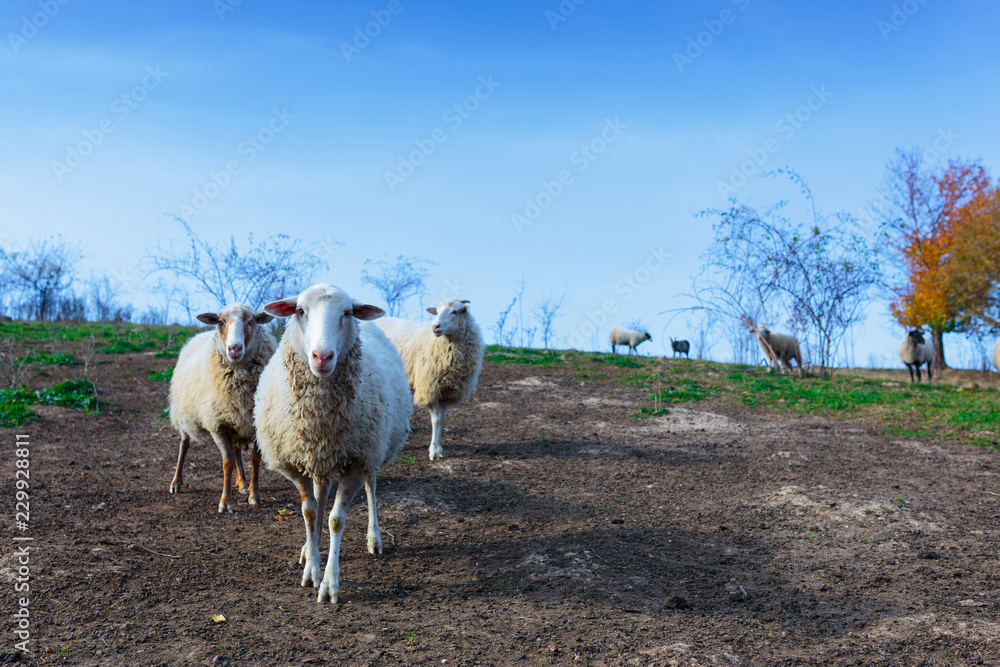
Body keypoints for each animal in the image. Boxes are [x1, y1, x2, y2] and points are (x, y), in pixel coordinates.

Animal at [168, 304, 276, 512]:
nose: (234, 348)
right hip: (182, 416)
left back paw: (242, 483)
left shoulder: (255, 423)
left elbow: (254, 459)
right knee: (184, 445)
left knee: (236, 450)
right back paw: (176, 482)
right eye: (220, 321)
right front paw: (225, 502)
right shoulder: (217, 424)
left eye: (252, 321)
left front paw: (254, 495)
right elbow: (227, 462)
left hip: (236, 420)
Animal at [253, 284, 411, 604]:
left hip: (373, 451)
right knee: (321, 495)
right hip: (319, 461)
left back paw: (374, 538)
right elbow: (310, 511)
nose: (322, 356)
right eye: (300, 310)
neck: (320, 420)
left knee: (371, 489)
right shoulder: (296, 463)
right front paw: (311, 569)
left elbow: (336, 520)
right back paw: (309, 546)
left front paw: (329, 584)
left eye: (347, 313)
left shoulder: (357, 462)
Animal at [375, 298, 484, 461]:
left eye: (455, 312)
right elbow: (436, 420)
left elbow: (442, 420)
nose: (435, 326)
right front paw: (433, 451)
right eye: (437, 311)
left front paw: (439, 448)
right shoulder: (430, 388)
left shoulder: (447, 393)